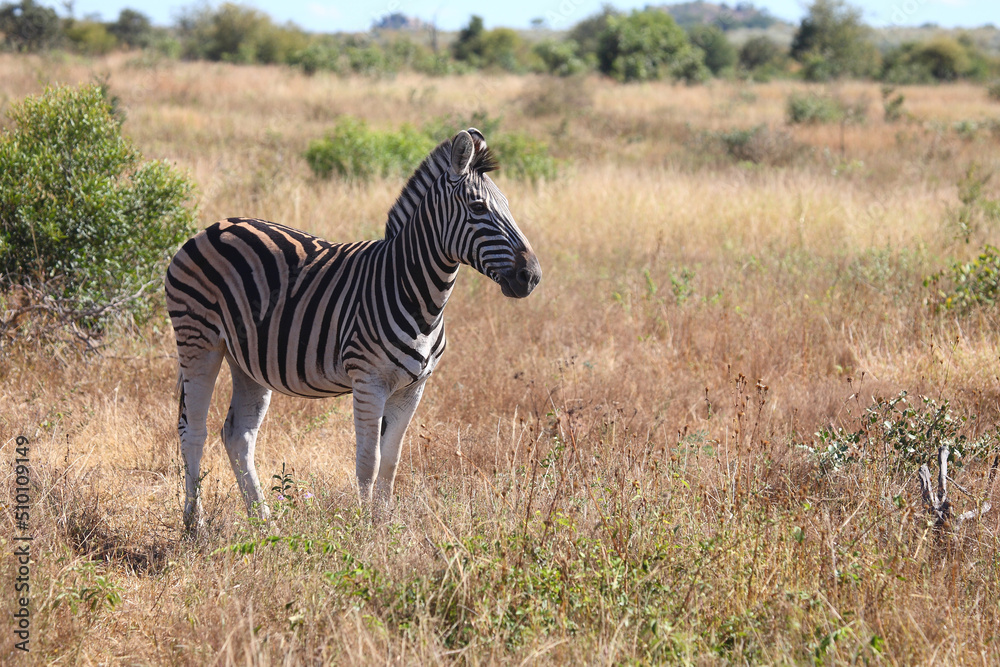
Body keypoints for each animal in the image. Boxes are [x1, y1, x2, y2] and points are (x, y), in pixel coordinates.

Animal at [166, 128, 541, 532]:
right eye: (477, 207)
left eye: (506, 205)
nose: (531, 276)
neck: (415, 292)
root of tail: (213, 227)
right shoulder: (368, 381)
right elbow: (368, 461)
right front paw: (363, 529)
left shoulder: (412, 389)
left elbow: (391, 461)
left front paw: (384, 525)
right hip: (198, 338)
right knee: (193, 430)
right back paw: (195, 524)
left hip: (247, 359)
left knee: (238, 434)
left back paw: (264, 523)